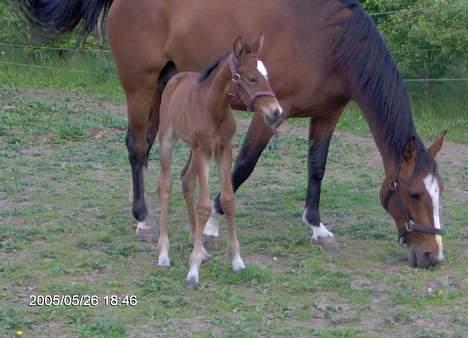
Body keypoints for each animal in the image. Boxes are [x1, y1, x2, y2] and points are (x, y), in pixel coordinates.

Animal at [156, 35, 282, 286]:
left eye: (267, 76)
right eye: (251, 78)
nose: (276, 112)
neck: (212, 108)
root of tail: (175, 78)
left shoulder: (224, 150)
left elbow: (228, 200)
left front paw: (236, 260)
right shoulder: (203, 151)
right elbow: (204, 206)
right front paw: (193, 270)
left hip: (192, 149)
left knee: (186, 181)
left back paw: (199, 246)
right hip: (169, 139)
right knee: (165, 185)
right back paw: (164, 253)